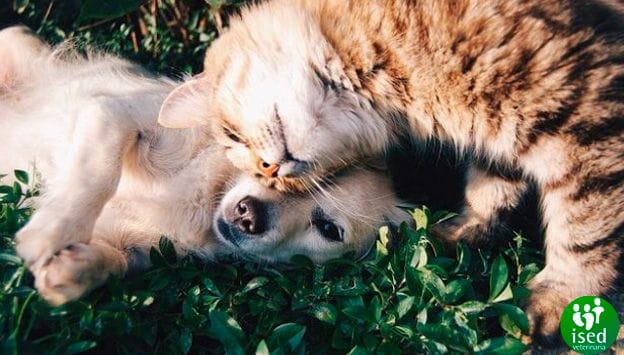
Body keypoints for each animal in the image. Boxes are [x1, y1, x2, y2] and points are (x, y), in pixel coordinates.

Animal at [0, 27, 408, 306]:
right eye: (266, 166)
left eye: (328, 229)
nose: (248, 215)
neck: (207, 197)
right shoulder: (112, 114)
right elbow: (96, 174)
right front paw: (51, 232)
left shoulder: (141, 250)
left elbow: (114, 262)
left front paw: (72, 270)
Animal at [157, 0, 624, 346]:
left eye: (233, 136)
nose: (271, 169)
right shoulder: (499, 136)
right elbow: (490, 190)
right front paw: (460, 232)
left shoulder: (584, 114)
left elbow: (585, 229)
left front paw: (563, 299)